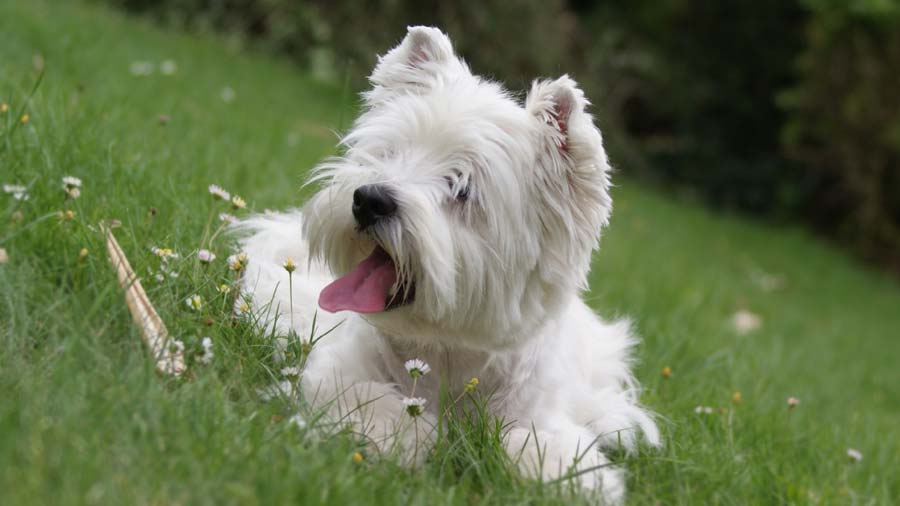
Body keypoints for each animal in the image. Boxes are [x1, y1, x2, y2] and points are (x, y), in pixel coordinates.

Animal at [239, 26, 660, 502]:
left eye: (461, 187)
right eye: (390, 153)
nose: (368, 200)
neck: (447, 352)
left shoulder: (543, 418)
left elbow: (537, 446)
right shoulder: (336, 371)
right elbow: (376, 405)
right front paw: (407, 440)